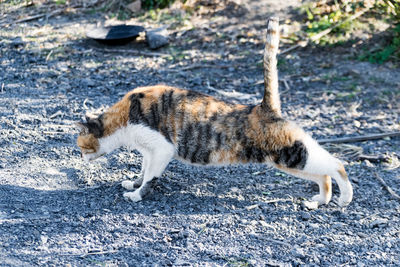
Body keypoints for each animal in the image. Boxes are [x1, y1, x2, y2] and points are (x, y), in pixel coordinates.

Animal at [76, 17, 354, 208]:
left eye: (81, 147)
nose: (81, 159)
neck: (124, 118)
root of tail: (265, 106)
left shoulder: (163, 149)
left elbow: (150, 178)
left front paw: (136, 195)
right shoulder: (148, 151)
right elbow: (143, 171)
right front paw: (133, 182)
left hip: (291, 154)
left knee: (336, 164)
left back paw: (345, 198)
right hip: (287, 162)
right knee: (323, 176)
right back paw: (321, 199)